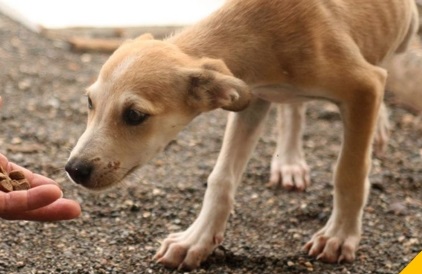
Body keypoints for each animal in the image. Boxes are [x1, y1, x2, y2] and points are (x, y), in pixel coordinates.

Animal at [66, 0, 418, 270]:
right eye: (90, 102)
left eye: (135, 115)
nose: (73, 170)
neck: (263, 32)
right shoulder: (252, 99)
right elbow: (221, 178)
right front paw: (196, 240)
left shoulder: (364, 86)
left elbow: (349, 172)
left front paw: (340, 236)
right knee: (293, 108)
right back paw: (289, 163)